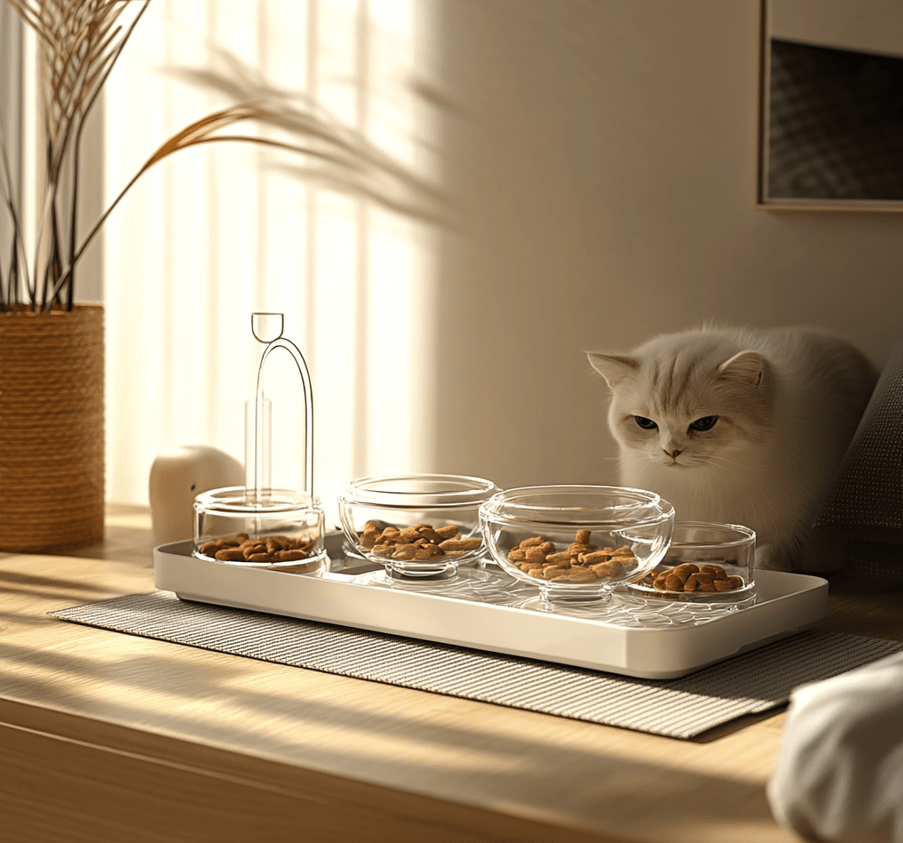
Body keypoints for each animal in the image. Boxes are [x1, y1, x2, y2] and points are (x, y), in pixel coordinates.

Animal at [588, 326, 880, 572]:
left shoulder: (791, 519)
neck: (708, 483)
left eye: (705, 423)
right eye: (645, 423)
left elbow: (770, 555)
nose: (672, 451)